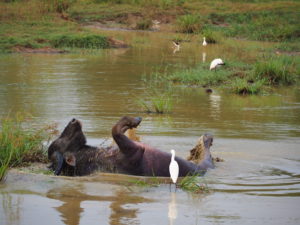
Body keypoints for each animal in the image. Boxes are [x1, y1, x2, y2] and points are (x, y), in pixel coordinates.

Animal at [48, 117, 214, 177]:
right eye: (60, 138)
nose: (73, 120)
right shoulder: (136, 151)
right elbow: (115, 129)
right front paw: (133, 121)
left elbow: (116, 130)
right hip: (202, 166)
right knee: (207, 157)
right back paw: (206, 139)